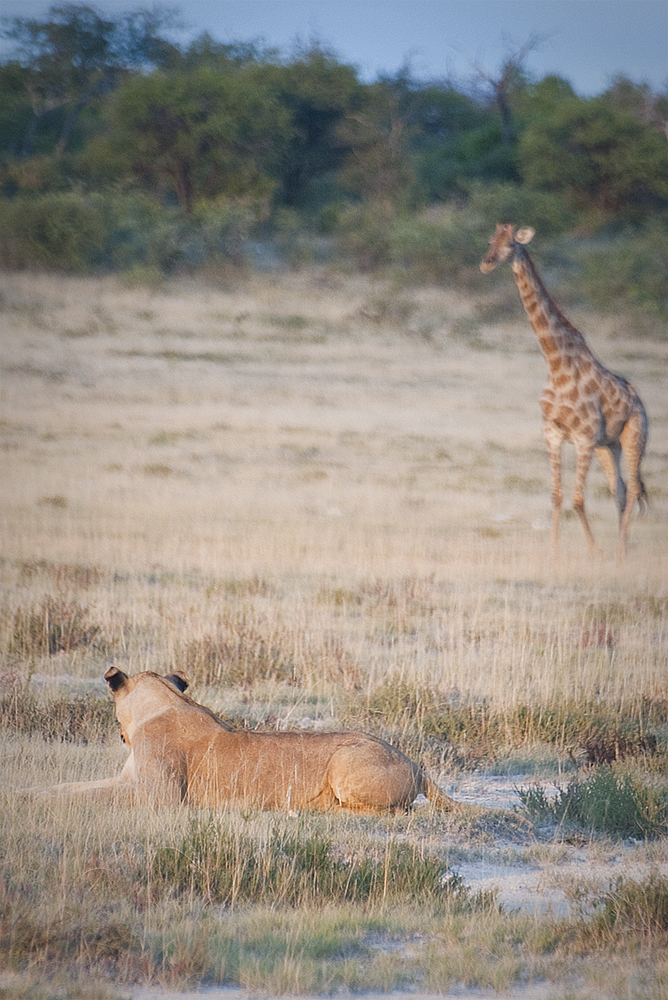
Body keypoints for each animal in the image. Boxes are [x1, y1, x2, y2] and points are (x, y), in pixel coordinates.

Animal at [480, 222, 648, 560]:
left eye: (511, 244)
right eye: (491, 240)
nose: (486, 263)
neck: (556, 364)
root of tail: (639, 403)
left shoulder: (583, 438)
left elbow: (577, 499)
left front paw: (595, 551)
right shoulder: (553, 434)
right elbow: (556, 495)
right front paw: (553, 552)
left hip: (634, 436)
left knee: (634, 488)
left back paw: (618, 551)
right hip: (609, 445)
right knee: (621, 490)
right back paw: (621, 549)